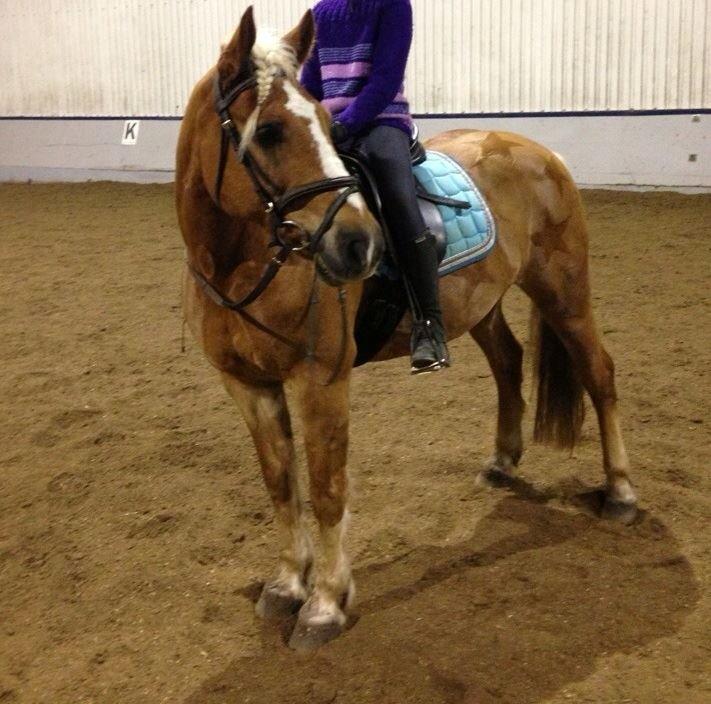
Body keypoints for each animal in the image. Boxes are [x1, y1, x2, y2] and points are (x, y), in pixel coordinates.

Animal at [177, 8, 640, 652]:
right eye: (267, 131)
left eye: (327, 123)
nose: (357, 245)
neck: (242, 264)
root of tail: (541, 151)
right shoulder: (246, 384)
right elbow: (279, 483)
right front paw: (287, 585)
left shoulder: (321, 380)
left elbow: (327, 488)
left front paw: (324, 605)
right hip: (478, 303)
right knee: (508, 361)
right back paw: (502, 461)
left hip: (564, 292)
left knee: (599, 373)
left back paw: (620, 493)